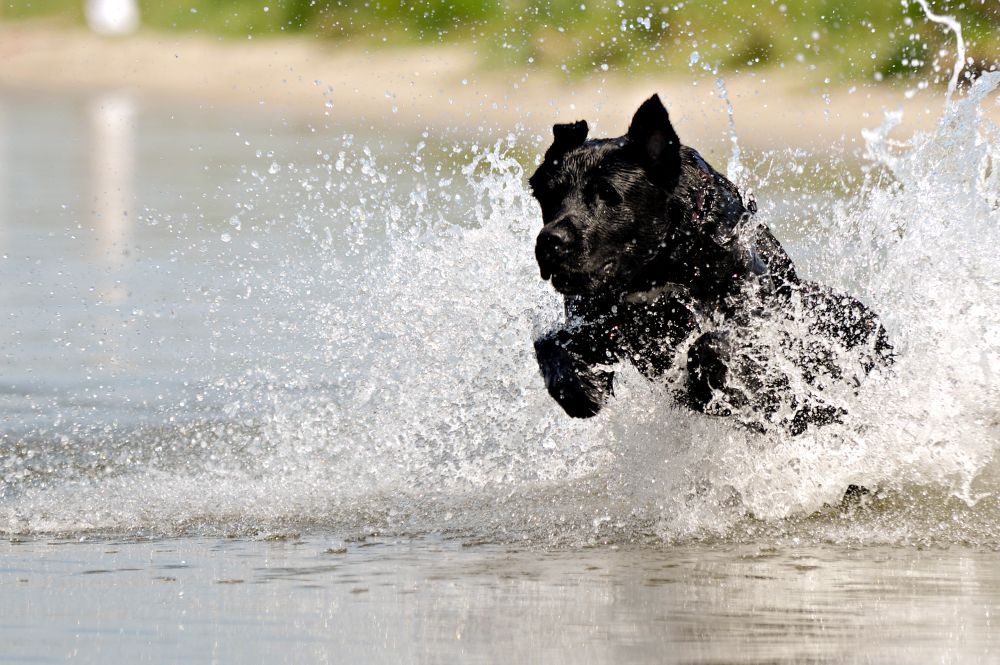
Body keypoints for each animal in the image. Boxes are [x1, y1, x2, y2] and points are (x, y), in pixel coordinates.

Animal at [532, 94, 892, 436]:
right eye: (547, 195)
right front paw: (579, 389)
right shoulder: (604, 322)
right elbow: (549, 343)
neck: (659, 267)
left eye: (607, 193)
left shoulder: (755, 315)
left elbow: (714, 344)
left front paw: (710, 388)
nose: (549, 241)